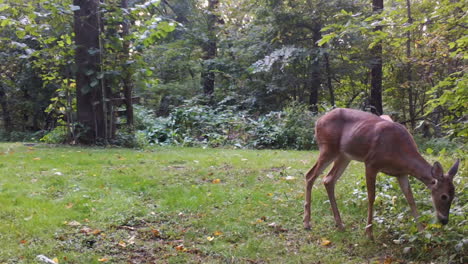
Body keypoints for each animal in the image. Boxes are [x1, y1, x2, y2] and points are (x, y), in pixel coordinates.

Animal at [304, 107, 460, 239]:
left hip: (344, 155)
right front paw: (369, 233)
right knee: (310, 175)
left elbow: (410, 198)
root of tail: (318, 121)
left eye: (454, 195)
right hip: (328, 148)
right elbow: (371, 197)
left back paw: (340, 224)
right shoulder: (371, 163)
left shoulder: (401, 173)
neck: (399, 151)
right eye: (444, 196)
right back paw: (307, 223)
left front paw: (422, 232)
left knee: (328, 179)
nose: (444, 220)